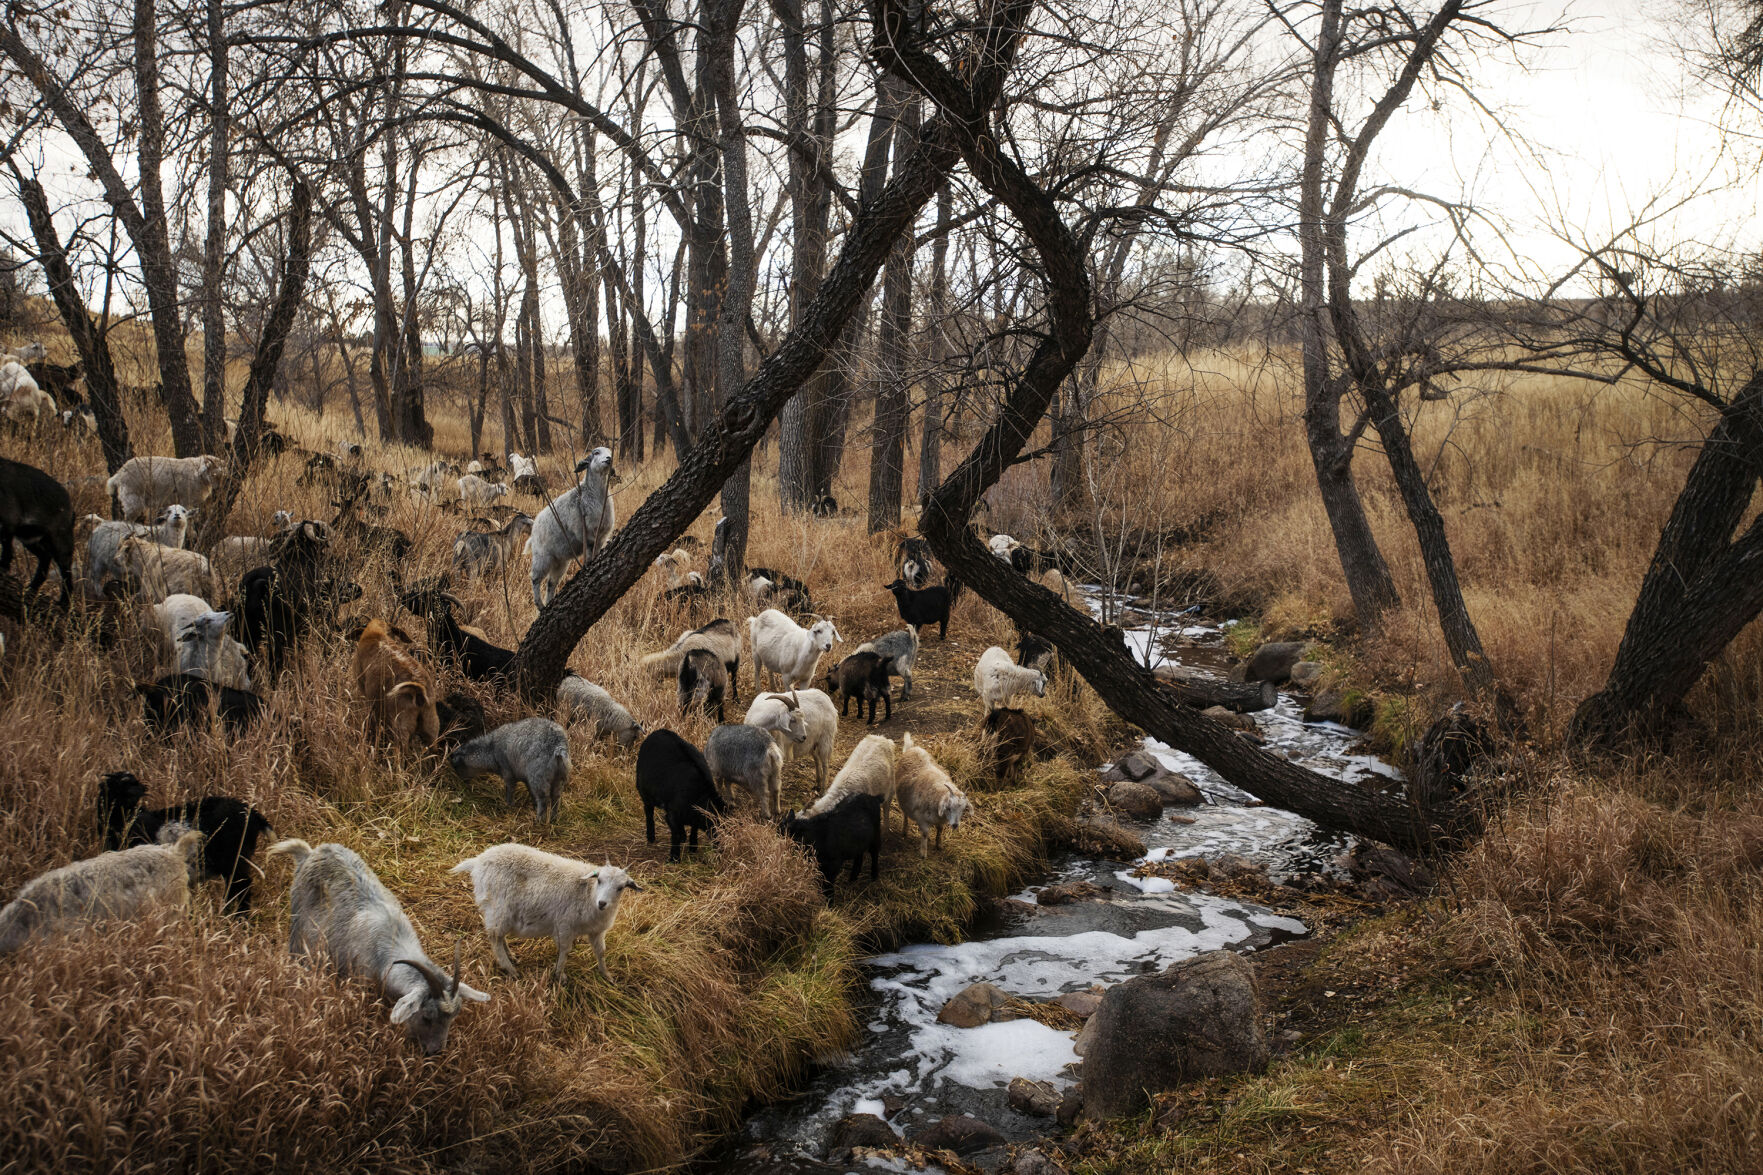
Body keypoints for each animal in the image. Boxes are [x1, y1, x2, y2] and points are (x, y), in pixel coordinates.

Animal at [271, 839, 489, 1054]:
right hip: (298, 925)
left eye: (453, 1017)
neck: (391, 945)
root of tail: (310, 852)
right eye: (427, 1017)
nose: (435, 1051)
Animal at [451, 845, 642, 981]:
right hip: (499, 907)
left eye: (620, 887)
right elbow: (564, 951)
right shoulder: (564, 925)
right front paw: (560, 976)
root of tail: (478, 860)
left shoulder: (597, 931)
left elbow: (601, 952)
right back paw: (510, 969)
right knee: (495, 937)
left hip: (500, 913)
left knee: (499, 935)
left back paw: (511, 957)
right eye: (599, 880)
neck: (588, 893)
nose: (602, 903)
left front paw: (606, 975)